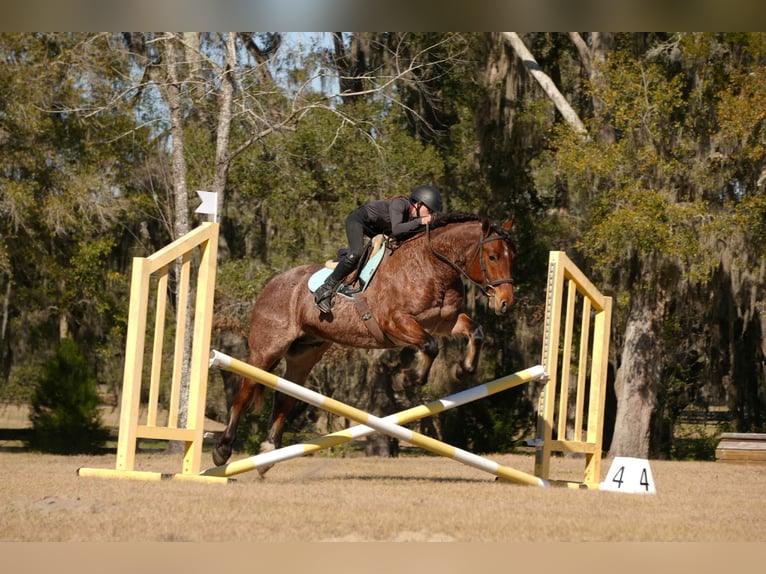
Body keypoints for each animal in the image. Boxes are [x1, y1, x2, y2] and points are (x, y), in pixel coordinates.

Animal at [213, 212, 516, 472]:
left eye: (511, 256)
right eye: (492, 256)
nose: (505, 303)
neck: (431, 266)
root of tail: (272, 283)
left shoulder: (443, 322)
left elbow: (475, 332)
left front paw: (463, 370)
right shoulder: (394, 323)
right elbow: (430, 345)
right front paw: (410, 378)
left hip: (305, 354)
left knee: (286, 396)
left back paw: (268, 451)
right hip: (267, 349)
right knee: (245, 390)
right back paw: (223, 449)